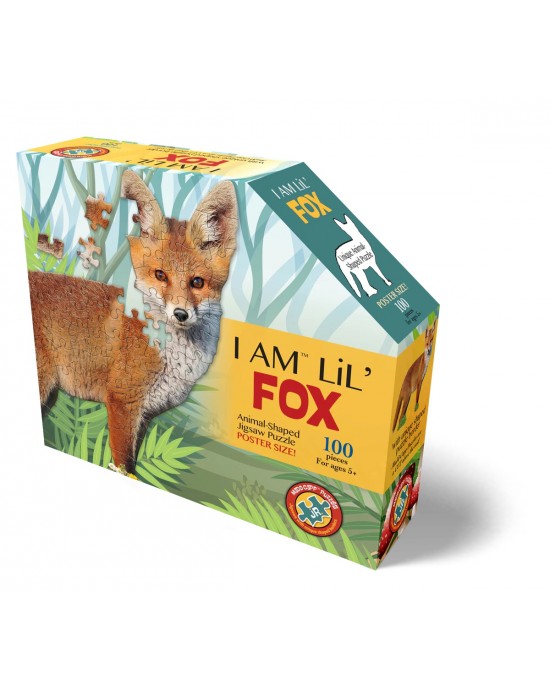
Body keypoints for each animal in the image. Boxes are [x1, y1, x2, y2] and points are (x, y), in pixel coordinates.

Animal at [29, 170, 238, 476]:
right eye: (161, 275)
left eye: (197, 282)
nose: (180, 314)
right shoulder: (122, 403)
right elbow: (123, 464)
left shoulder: (145, 414)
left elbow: (134, 465)